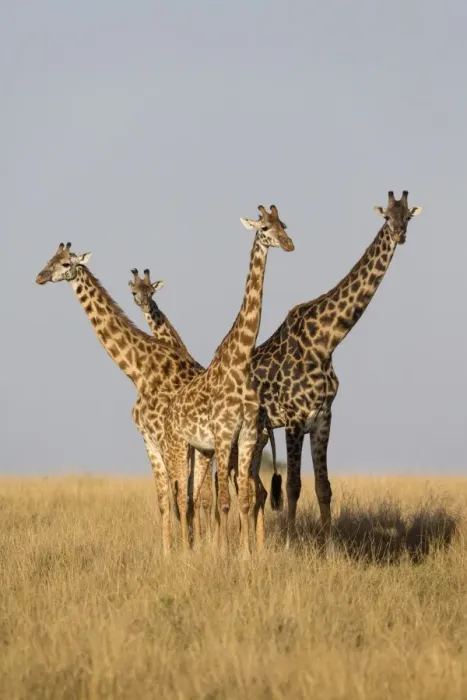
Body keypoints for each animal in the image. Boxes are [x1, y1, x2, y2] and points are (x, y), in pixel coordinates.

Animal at [35, 242, 210, 554]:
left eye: (66, 263)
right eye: (49, 259)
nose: (40, 276)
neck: (138, 371)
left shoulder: (168, 440)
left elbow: (177, 498)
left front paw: (183, 553)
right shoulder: (149, 440)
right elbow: (164, 502)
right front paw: (168, 553)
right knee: (197, 496)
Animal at [161, 205, 294, 556]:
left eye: (284, 225)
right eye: (264, 228)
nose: (289, 244)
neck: (241, 360)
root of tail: (169, 411)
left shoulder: (246, 433)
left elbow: (245, 500)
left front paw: (247, 555)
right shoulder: (223, 434)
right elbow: (223, 502)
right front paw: (223, 553)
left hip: (200, 451)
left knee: (191, 497)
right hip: (178, 447)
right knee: (178, 495)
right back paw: (180, 551)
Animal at [248, 190, 422, 546]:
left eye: (408, 216)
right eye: (387, 216)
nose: (399, 234)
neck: (326, 340)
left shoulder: (323, 417)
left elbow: (323, 488)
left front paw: (329, 548)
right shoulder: (294, 418)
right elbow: (293, 486)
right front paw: (290, 544)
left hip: (259, 436)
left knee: (251, 486)